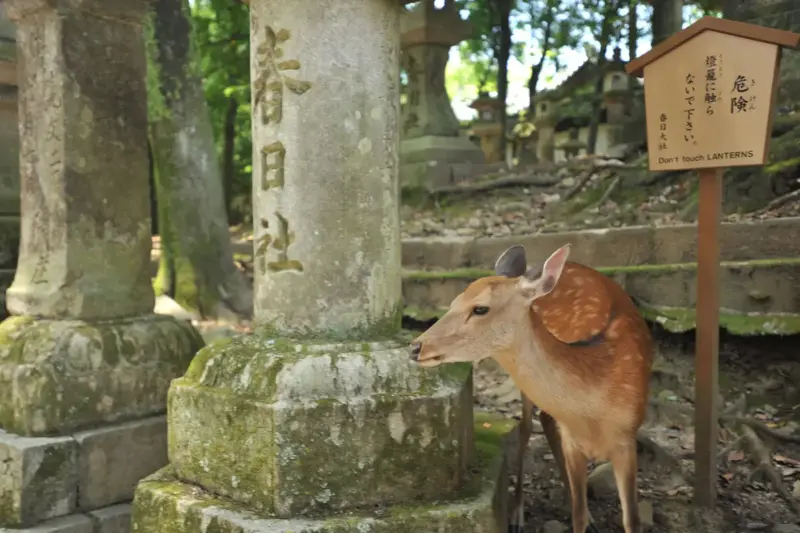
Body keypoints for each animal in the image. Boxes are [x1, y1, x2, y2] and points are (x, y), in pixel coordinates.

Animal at [410, 244, 652, 532]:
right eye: (453, 302)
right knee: (526, 426)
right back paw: (517, 513)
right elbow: (578, 515)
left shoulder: (627, 438)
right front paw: (579, 512)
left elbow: (631, 520)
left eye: (480, 309)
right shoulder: (572, 440)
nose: (415, 347)